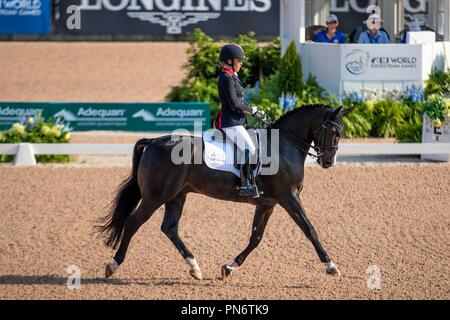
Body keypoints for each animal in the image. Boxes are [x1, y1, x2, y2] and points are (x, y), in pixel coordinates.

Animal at [97, 104, 352, 280]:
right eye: (333, 132)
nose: (328, 162)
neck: (284, 146)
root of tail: (153, 141)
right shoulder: (289, 198)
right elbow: (310, 229)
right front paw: (331, 266)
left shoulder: (267, 204)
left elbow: (255, 238)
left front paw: (229, 267)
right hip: (155, 197)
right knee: (133, 223)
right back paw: (113, 265)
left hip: (177, 196)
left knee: (169, 228)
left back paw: (195, 268)